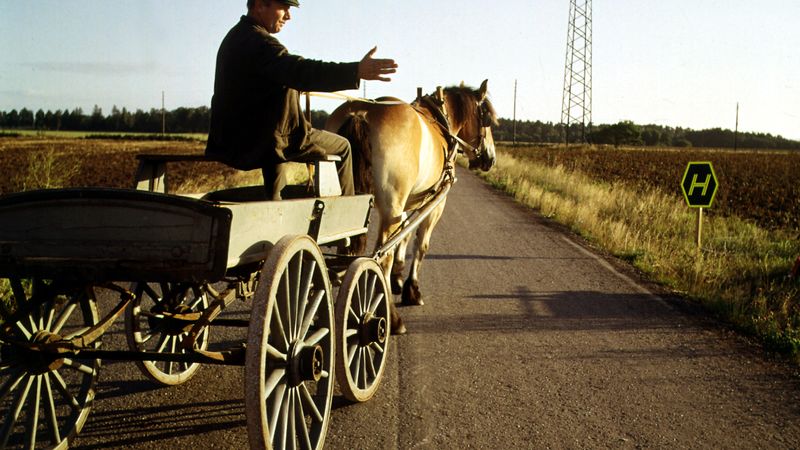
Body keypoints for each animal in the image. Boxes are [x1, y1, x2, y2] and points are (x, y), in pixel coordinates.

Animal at [324, 80, 494, 334]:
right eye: (488, 120)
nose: (490, 159)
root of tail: (361, 113)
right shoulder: (435, 204)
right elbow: (421, 244)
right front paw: (412, 290)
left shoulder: (408, 202)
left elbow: (402, 238)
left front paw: (397, 278)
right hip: (393, 205)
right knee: (381, 257)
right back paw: (392, 319)